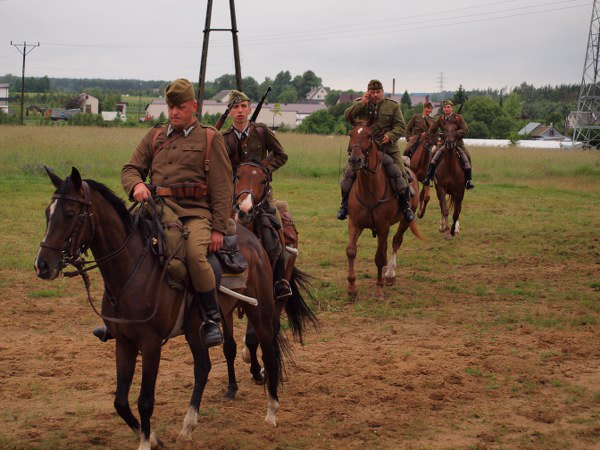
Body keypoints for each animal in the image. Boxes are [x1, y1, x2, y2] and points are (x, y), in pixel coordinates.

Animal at [34, 167, 284, 450]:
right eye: (48, 213)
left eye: (69, 214)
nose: (42, 265)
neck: (131, 272)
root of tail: (254, 241)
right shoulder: (124, 342)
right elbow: (120, 401)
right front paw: (152, 437)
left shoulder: (151, 344)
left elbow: (145, 400)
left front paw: (145, 442)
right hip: (195, 330)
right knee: (203, 368)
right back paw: (188, 426)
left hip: (260, 312)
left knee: (269, 354)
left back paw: (272, 412)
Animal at [226, 159, 318, 399]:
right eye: (238, 175)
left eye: (263, 180)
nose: (244, 210)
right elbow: (229, 344)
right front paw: (232, 386)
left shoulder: (261, 299)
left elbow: (254, 337)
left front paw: (259, 372)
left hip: (278, 296)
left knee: (272, 328)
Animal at [345, 117, 425, 300]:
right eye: (351, 134)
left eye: (369, 135)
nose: (355, 161)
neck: (369, 188)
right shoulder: (355, 224)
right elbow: (351, 251)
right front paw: (352, 288)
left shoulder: (382, 227)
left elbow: (379, 257)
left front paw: (378, 290)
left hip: (404, 221)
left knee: (396, 241)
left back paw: (389, 275)